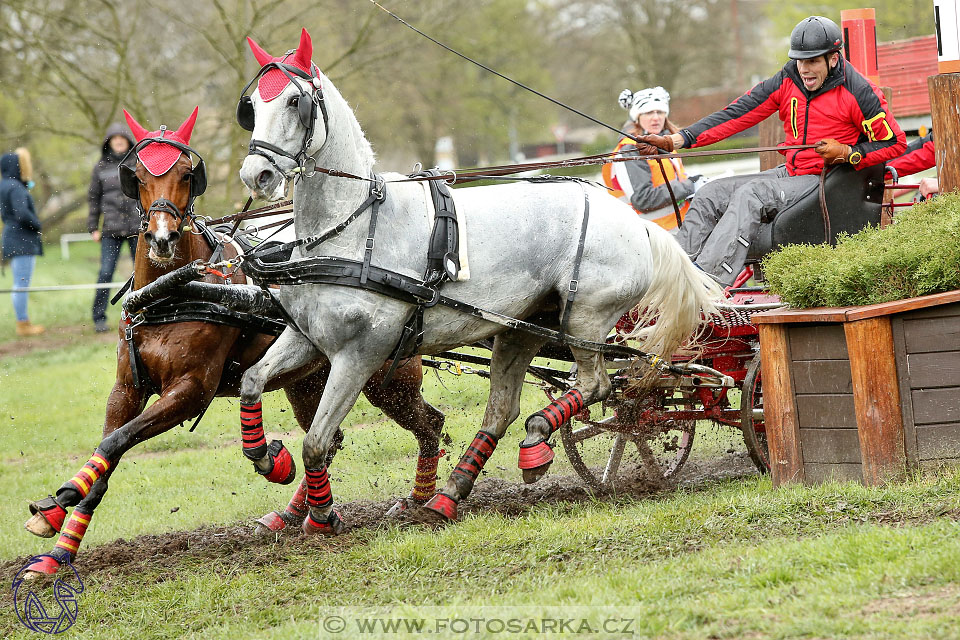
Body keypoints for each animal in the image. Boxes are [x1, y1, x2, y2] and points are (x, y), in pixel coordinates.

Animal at [21, 106, 442, 576]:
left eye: (187, 174)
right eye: (138, 175)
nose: (162, 239)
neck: (174, 294)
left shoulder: (190, 391)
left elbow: (117, 441)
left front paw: (62, 502)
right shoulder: (126, 389)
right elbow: (107, 453)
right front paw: (58, 546)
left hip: (385, 379)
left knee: (429, 424)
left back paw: (421, 502)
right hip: (308, 382)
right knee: (330, 440)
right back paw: (295, 512)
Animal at [229, 27, 716, 532]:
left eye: (294, 101)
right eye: (252, 107)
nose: (256, 174)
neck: (352, 230)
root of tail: (634, 221)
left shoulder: (361, 354)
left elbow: (317, 441)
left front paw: (322, 516)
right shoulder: (306, 337)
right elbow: (251, 380)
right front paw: (269, 459)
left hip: (584, 319)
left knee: (597, 385)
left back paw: (535, 439)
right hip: (521, 329)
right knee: (503, 410)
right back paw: (450, 494)